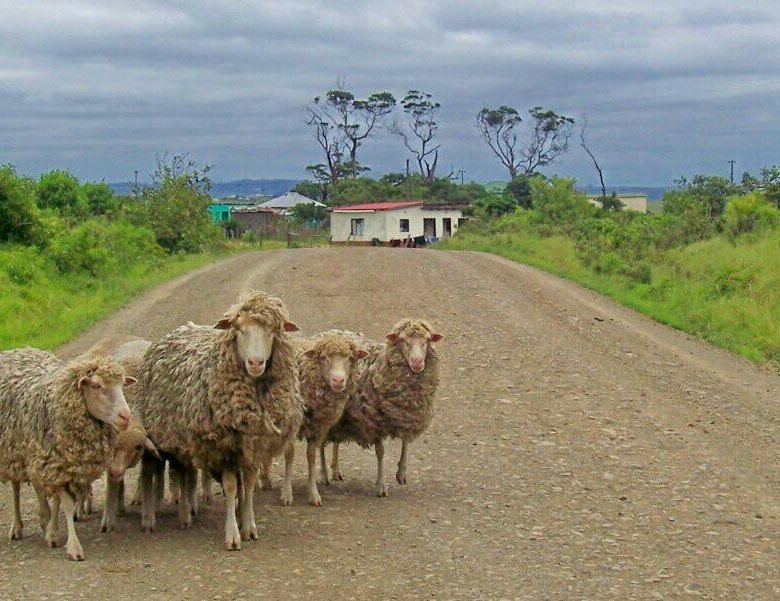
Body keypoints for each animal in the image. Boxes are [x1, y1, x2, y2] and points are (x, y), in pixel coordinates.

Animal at [0, 350, 133, 560]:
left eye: (122, 385)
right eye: (96, 386)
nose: (125, 416)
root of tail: (19, 350)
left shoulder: (64, 468)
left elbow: (58, 501)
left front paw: (53, 533)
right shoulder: (51, 465)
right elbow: (68, 505)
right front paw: (74, 547)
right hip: (13, 454)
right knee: (15, 488)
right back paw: (17, 527)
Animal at [134, 290, 304, 548]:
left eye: (272, 331)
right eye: (239, 329)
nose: (256, 363)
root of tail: (183, 328)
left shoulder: (252, 446)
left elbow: (249, 485)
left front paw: (249, 524)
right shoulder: (223, 449)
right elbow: (232, 486)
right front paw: (232, 534)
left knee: (184, 473)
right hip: (162, 437)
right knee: (160, 472)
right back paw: (161, 516)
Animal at [258, 332, 364, 506]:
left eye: (350, 358)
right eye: (323, 357)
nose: (338, 380)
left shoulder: (318, 427)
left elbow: (311, 457)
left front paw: (314, 493)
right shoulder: (291, 424)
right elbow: (289, 455)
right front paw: (287, 494)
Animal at [324, 318, 442, 496]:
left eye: (427, 340)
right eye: (402, 340)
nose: (417, 362)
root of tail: (332, 332)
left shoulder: (406, 414)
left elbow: (405, 441)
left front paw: (401, 473)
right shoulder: (375, 421)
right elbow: (380, 452)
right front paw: (381, 485)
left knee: (335, 441)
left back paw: (335, 469)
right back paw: (323, 476)